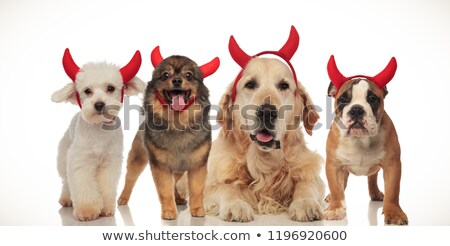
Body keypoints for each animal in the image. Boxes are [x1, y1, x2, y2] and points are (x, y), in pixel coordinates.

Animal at [51, 48, 146, 221]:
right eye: (87, 91)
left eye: (110, 88)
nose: (99, 104)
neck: (100, 129)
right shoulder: (81, 162)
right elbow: (83, 186)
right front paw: (87, 210)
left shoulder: (110, 163)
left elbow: (106, 187)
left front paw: (106, 209)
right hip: (64, 157)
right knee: (67, 181)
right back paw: (66, 199)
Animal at [118, 47, 220, 220]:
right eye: (166, 75)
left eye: (188, 75)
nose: (177, 80)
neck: (177, 123)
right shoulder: (160, 166)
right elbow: (165, 190)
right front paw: (168, 212)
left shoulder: (197, 165)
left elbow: (196, 190)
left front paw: (197, 209)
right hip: (137, 159)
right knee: (130, 179)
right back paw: (123, 198)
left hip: (179, 170)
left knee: (175, 182)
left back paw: (178, 198)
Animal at [206, 26, 326, 223]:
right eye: (250, 84)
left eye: (284, 85)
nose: (267, 112)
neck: (264, 158)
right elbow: (226, 187)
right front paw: (235, 205)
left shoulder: (311, 175)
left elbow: (306, 184)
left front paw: (305, 203)